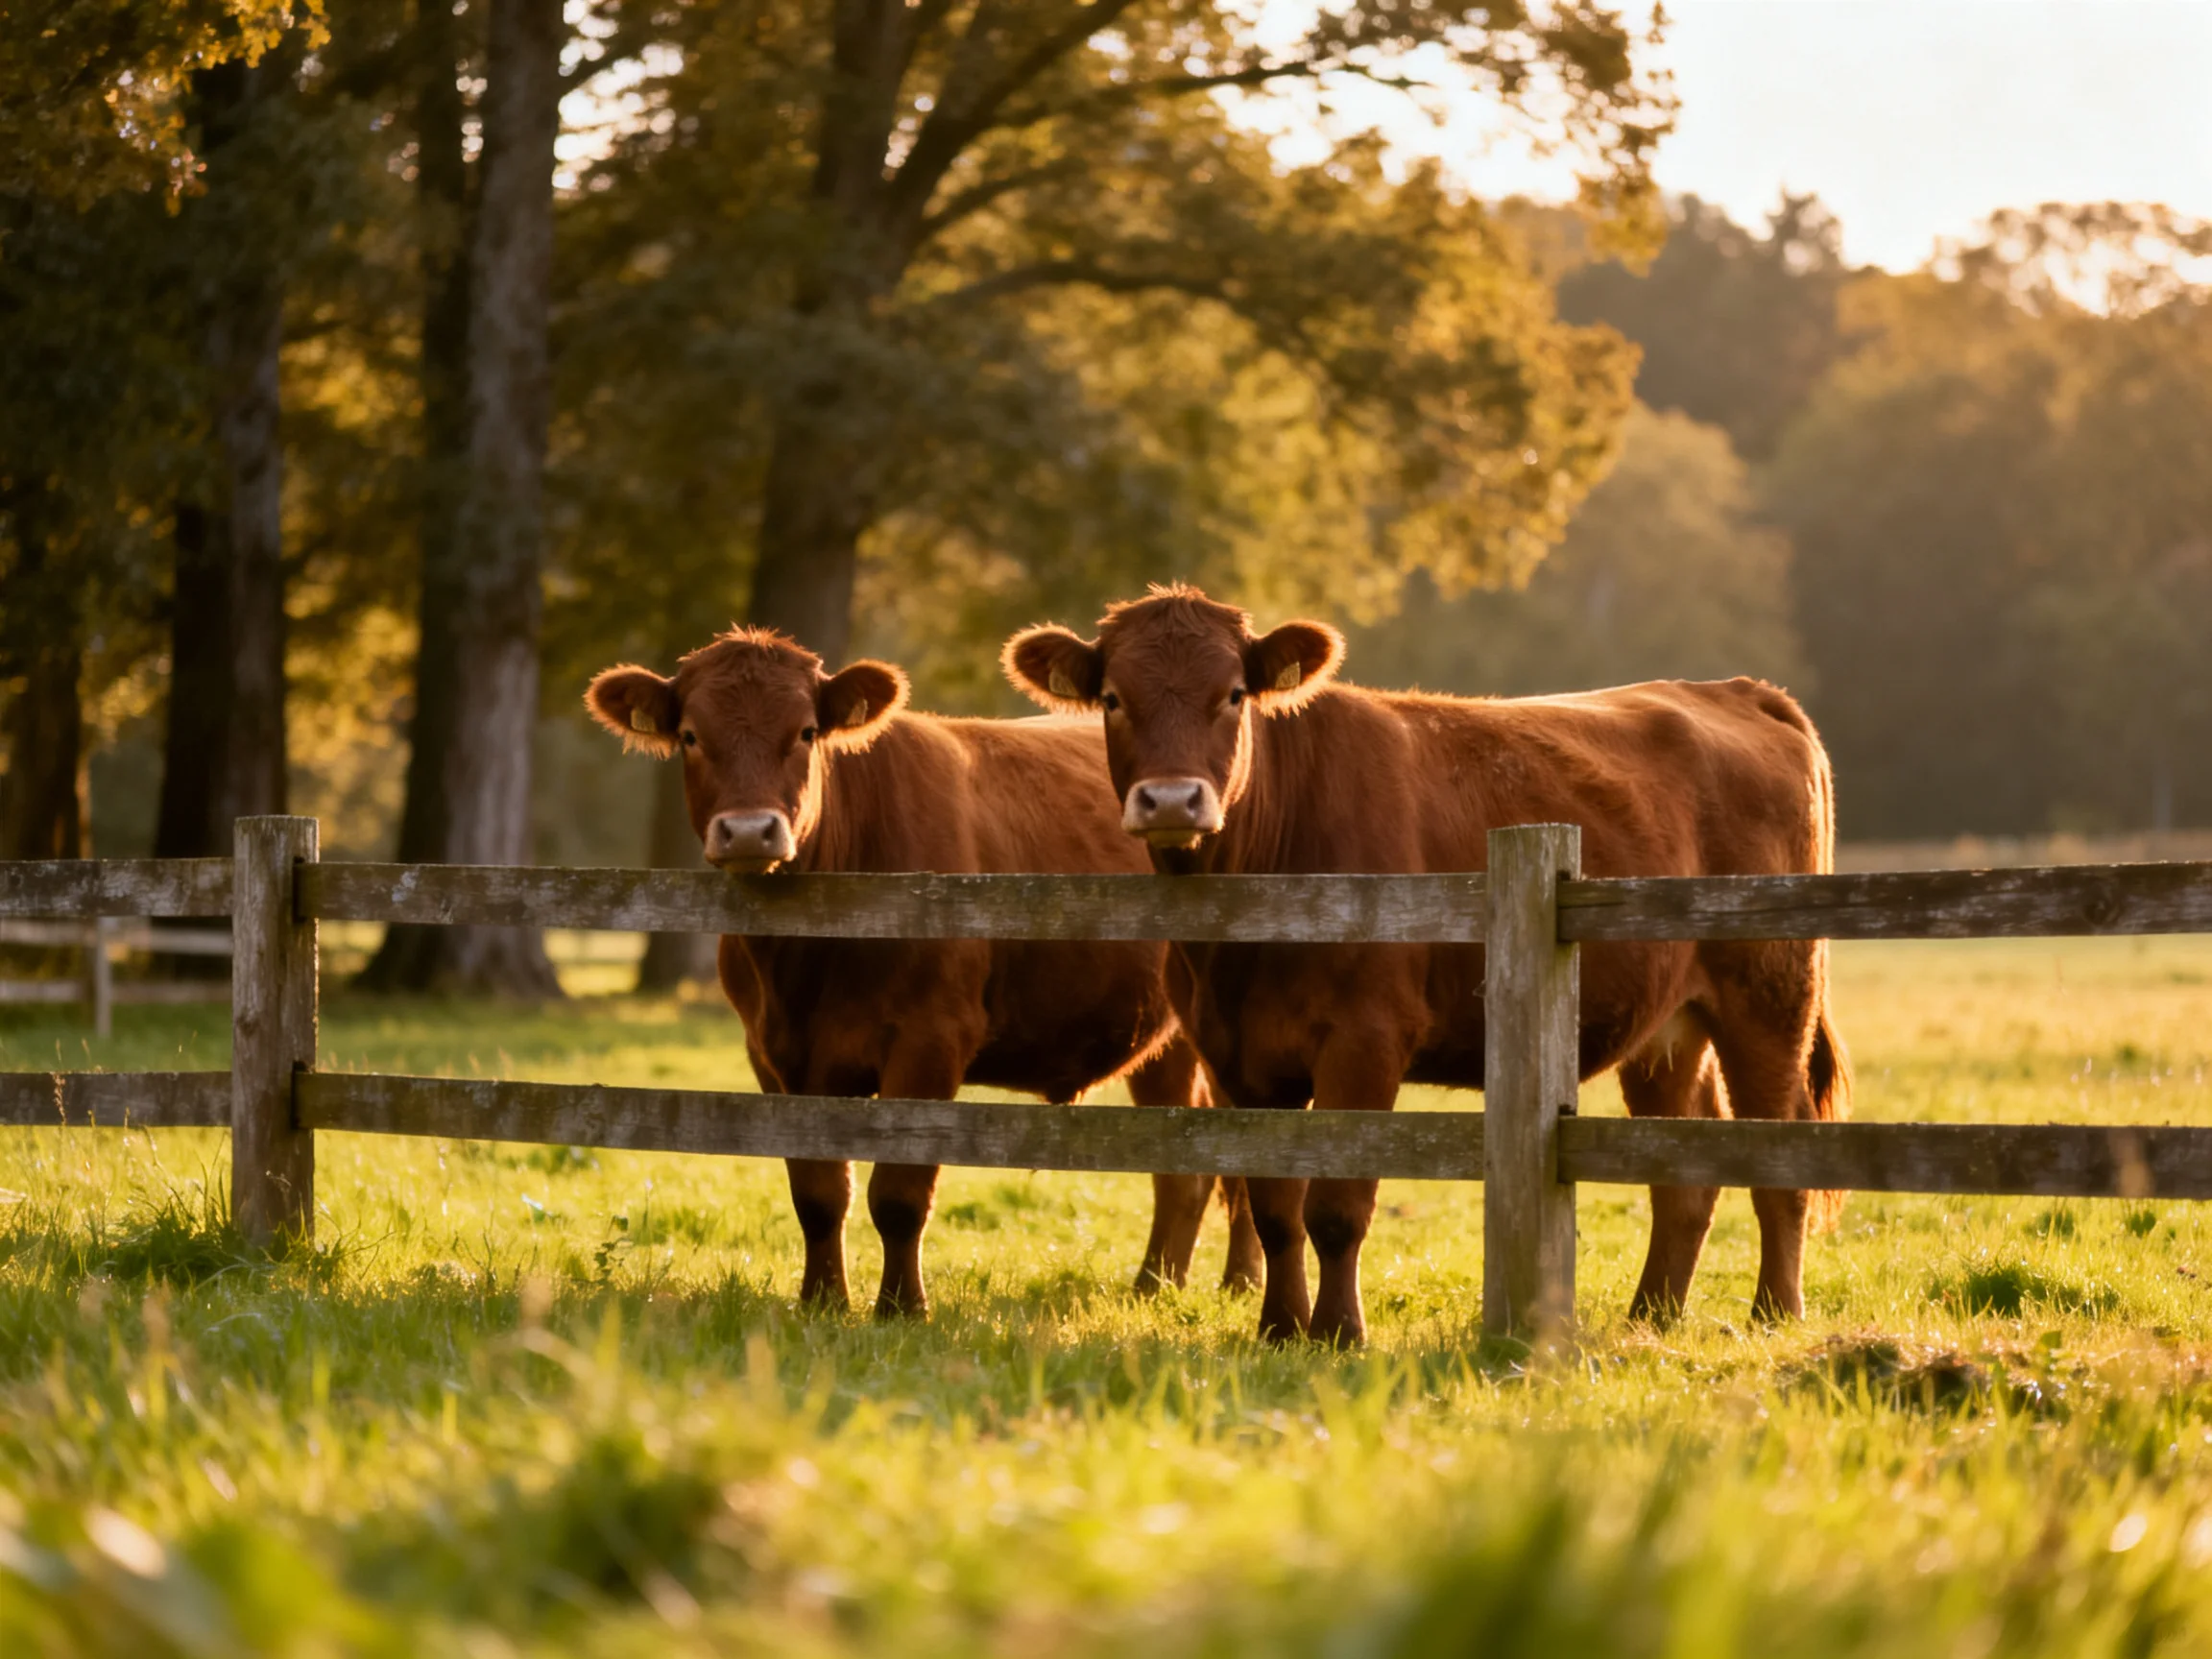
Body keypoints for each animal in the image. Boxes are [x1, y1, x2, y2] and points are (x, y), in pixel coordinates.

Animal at [587, 627, 1262, 1318]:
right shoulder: (775, 1057)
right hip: (1167, 1038)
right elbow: (817, 1193)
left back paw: (1230, 1280)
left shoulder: (931, 1041)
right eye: (692, 736)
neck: (806, 958)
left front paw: (902, 1308)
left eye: (806, 731)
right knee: (1185, 1165)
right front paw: (823, 1301)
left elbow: (899, 1193)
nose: (750, 832)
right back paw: (1156, 1287)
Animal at [1004, 583, 1850, 1345]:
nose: (1173, 801)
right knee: (1684, 1168)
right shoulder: (1235, 1051)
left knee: (1782, 1150)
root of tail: (1734, 690)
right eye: (1113, 697)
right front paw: (1279, 1328)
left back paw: (1774, 1313)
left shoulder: (1365, 1040)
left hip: (1770, 992)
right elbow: (1275, 1204)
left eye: (1234, 694)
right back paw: (1653, 1315)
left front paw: (1339, 1332)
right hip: (1668, 1025)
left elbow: (1337, 1208)